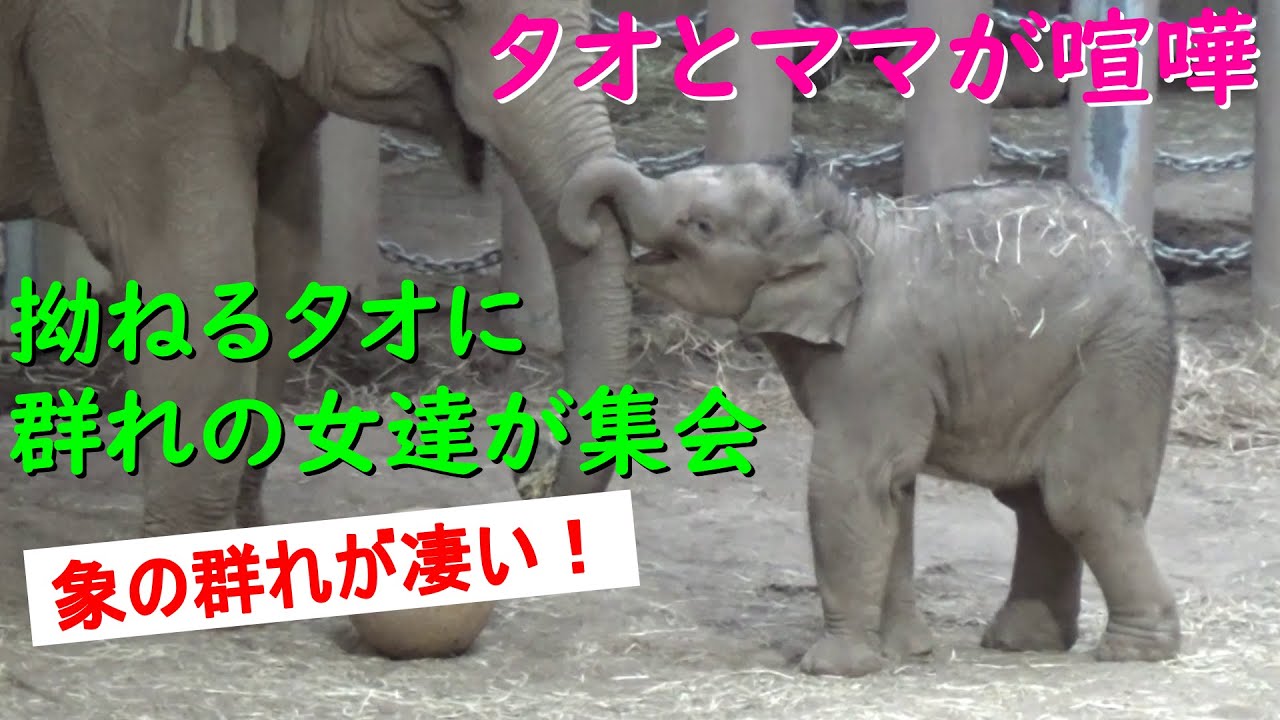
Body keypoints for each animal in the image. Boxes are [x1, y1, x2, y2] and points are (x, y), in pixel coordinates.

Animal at [560, 155, 1183, 677]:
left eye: (701, 226)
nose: (591, 231)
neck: (836, 221)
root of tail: (1149, 261)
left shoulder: (876, 358)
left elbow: (848, 482)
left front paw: (831, 669)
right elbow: (894, 490)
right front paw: (907, 653)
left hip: (1116, 357)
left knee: (1080, 501)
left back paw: (1133, 652)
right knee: (1034, 502)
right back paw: (1024, 643)